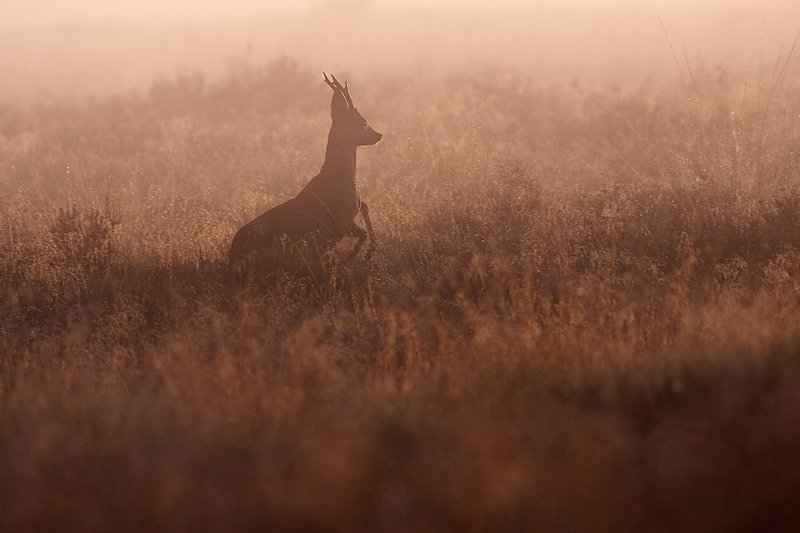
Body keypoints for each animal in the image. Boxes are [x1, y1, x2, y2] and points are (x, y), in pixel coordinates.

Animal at [228, 74, 382, 286]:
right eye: (363, 121)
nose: (378, 135)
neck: (340, 176)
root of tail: (231, 254)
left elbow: (365, 207)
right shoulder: (342, 222)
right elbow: (362, 233)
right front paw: (355, 259)